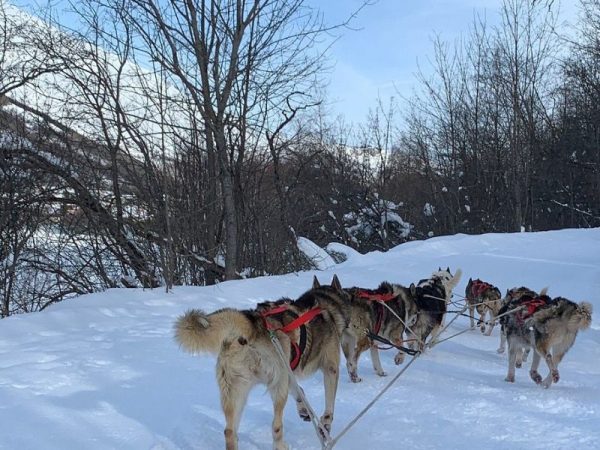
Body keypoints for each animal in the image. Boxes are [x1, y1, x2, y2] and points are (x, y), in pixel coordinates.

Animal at [173, 274, 352, 450]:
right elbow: (329, 405)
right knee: (276, 426)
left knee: (229, 432)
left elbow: (299, 391)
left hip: (236, 392)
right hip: (278, 389)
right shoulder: (330, 368)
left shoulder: (289, 373)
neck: (325, 303)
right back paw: (281, 445)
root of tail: (253, 325)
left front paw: (304, 409)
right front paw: (325, 425)